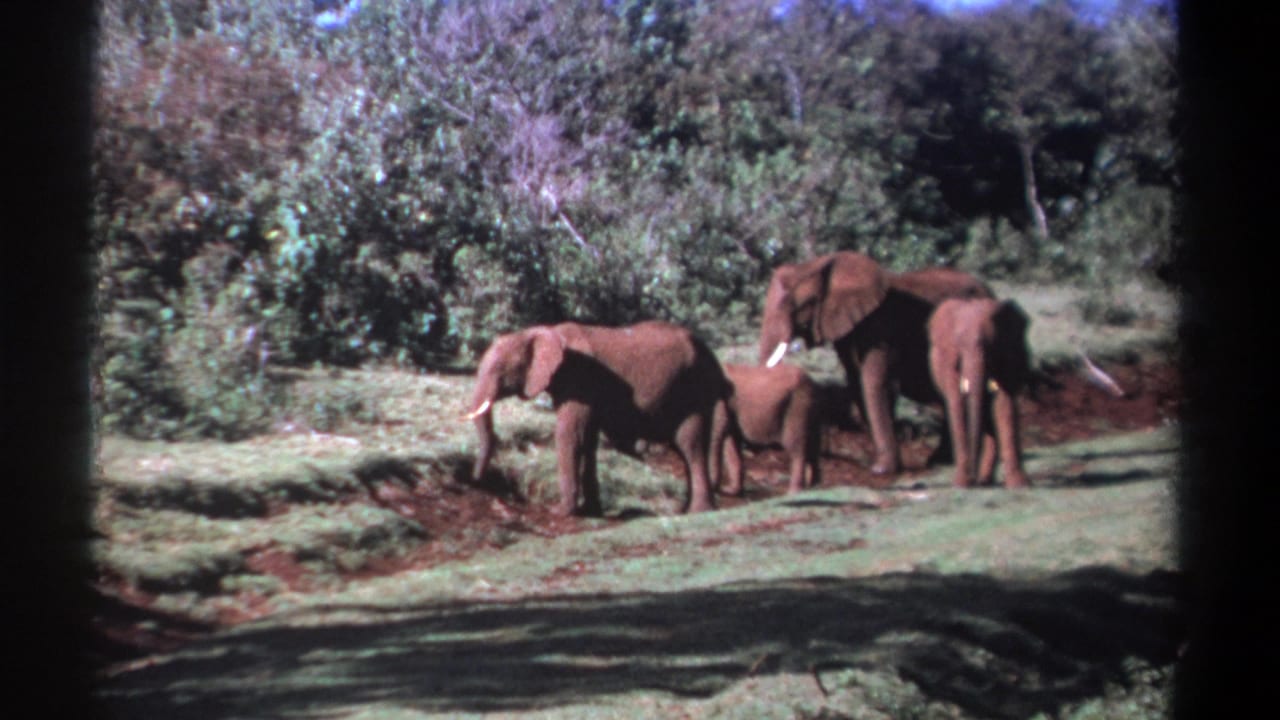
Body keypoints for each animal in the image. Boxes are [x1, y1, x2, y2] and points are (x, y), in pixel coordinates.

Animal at [466, 320, 733, 517]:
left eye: (499, 370)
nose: (478, 480)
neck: (542, 331)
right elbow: (588, 440)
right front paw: (591, 509)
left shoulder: (579, 379)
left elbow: (569, 434)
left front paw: (561, 512)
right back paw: (687, 510)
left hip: (695, 386)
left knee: (690, 442)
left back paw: (699, 511)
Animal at [717, 362, 822, 496]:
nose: (720, 489)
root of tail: (812, 382)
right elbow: (730, 441)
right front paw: (731, 490)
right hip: (810, 411)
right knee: (813, 446)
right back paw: (814, 487)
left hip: (797, 407)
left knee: (797, 447)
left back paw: (794, 492)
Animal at [758, 251, 994, 476]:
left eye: (803, 304)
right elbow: (857, 381)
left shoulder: (881, 327)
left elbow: (874, 381)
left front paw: (881, 470)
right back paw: (941, 461)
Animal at [927, 297, 1032, 488]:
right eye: (959, 344)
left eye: (991, 345)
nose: (972, 479)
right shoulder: (948, 361)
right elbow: (957, 403)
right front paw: (961, 484)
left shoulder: (1008, 355)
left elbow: (1004, 404)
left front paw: (1020, 485)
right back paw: (984, 481)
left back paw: (986, 480)